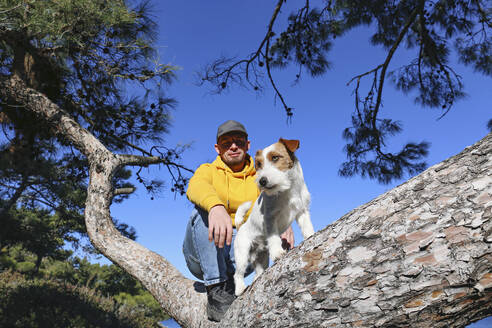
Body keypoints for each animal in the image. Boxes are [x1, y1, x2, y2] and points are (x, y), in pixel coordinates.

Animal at [234, 137, 316, 296]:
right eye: (259, 164)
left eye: (275, 157)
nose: (262, 181)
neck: (288, 190)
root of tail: (241, 226)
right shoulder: (270, 219)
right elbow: (273, 238)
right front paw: (278, 252)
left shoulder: (302, 211)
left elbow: (307, 226)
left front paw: (310, 235)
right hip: (242, 254)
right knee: (237, 274)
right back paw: (240, 289)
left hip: (261, 258)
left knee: (258, 271)